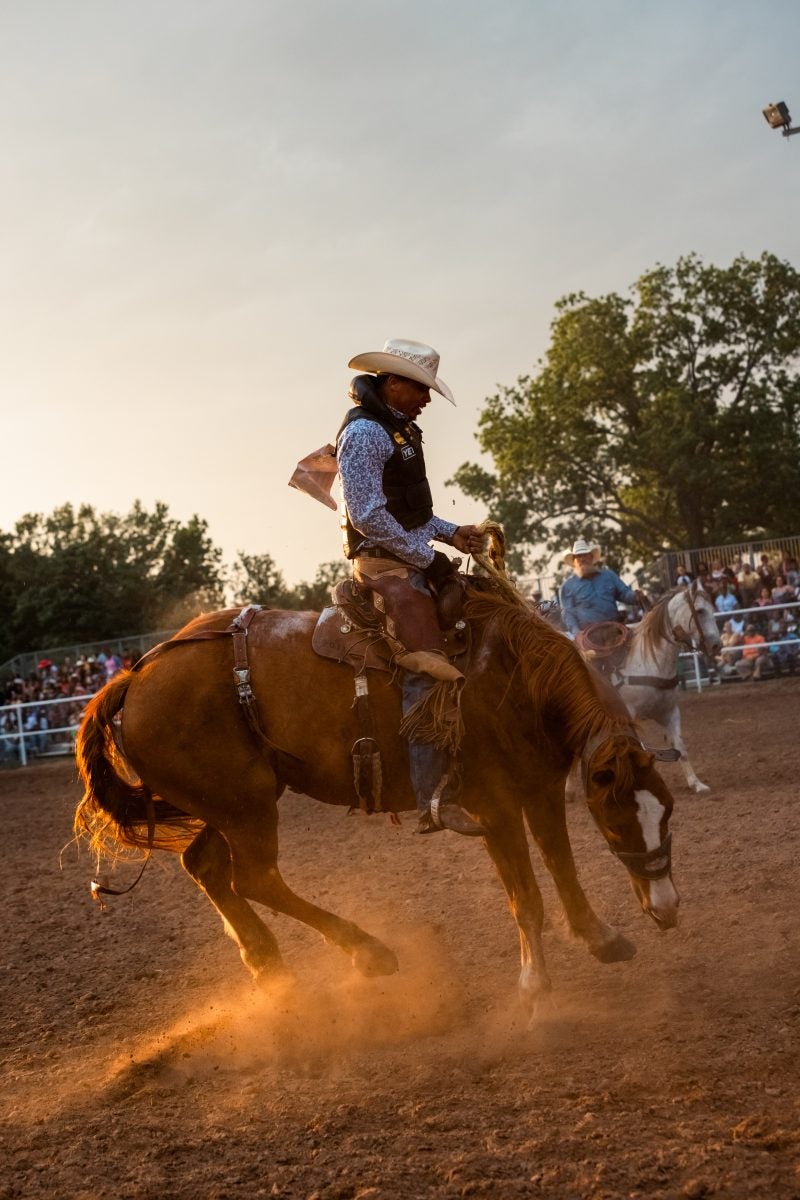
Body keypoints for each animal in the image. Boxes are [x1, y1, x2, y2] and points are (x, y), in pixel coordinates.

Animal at [74, 585, 681, 1017]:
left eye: (667, 814)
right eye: (619, 822)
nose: (669, 909)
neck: (511, 674)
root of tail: (134, 678)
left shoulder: (540, 789)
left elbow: (563, 867)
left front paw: (602, 939)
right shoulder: (494, 807)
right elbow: (526, 898)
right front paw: (534, 988)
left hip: (230, 803)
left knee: (205, 867)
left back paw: (272, 970)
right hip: (245, 807)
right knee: (254, 878)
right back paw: (368, 951)